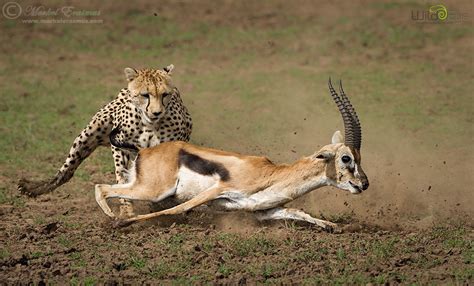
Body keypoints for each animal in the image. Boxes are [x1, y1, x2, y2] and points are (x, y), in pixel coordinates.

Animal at [18, 65, 193, 210]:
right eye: (145, 95)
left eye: (165, 94)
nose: (157, 112)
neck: (148, 124)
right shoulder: (118, 143)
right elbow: (122, 176)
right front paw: (126, 211)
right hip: (87, 136)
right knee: (66, 172)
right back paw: (33, 188)